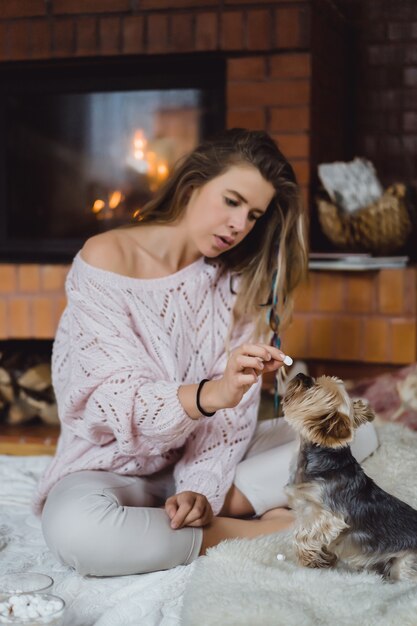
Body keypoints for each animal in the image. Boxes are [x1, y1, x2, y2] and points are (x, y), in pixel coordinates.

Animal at [282, 370, 416, 580]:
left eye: (311, 386)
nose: (302, 374)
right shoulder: (304, 508)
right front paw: (325, 559)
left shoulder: (327, 515)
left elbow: (303, 533)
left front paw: (308, 559)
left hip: (405, 561)